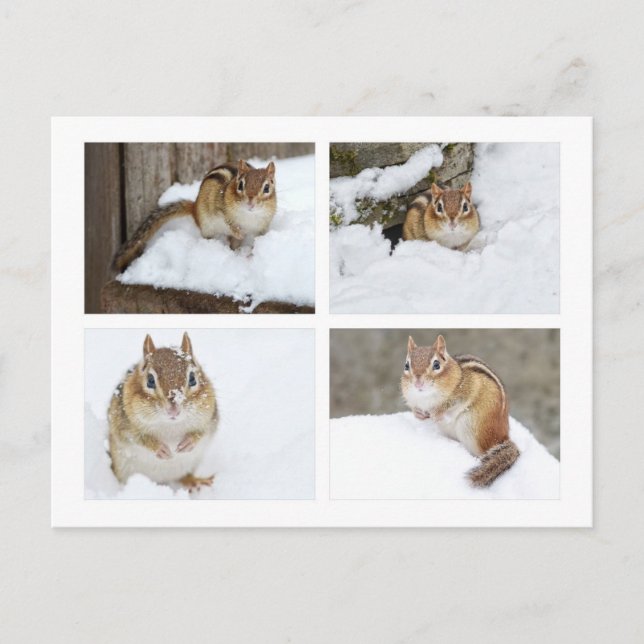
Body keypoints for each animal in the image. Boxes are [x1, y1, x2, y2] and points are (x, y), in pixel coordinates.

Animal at [108, 332, 218, 491]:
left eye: (192, 378)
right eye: (150, 380)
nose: (174, 410)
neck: (170, 426)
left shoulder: (210, 420)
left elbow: (202, 432)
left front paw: (188, 442)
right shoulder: (124, 425)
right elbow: (137, 437)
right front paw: (160, 449)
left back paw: (195, 481)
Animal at [112, 159, 277, 272]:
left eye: (267, 188)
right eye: (240, 185)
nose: (250, 202)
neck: (249, 216)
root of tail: (194, 207)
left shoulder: (262, 226)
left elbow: (258, 239)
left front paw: (252, 255)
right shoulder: (220, 210)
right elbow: (229, 223)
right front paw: (238, 232)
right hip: (207, 226)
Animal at [401, 334, 519, 487]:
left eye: (436, 365)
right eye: (406, 365)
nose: (418, 383)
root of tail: (504, 438)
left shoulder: (467, 389)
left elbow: (451, 407)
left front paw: (437, 415)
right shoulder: (414, 401)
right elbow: (415, 409)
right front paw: (420, 415)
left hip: (471, 427)